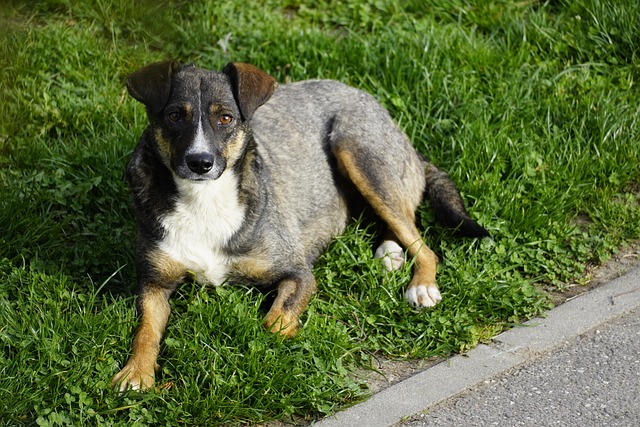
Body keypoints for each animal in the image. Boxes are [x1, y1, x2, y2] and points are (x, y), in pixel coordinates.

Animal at [111, 59, 490, 392]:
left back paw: (421, 285)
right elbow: (145, 329)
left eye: (225, 118)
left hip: (356, 148)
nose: (200, 162)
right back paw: (389, 251)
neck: (204, 198)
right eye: (175, 115)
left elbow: (274, 323)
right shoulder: (154, 283)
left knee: (422, 241)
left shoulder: (299, 273)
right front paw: (136, 373)